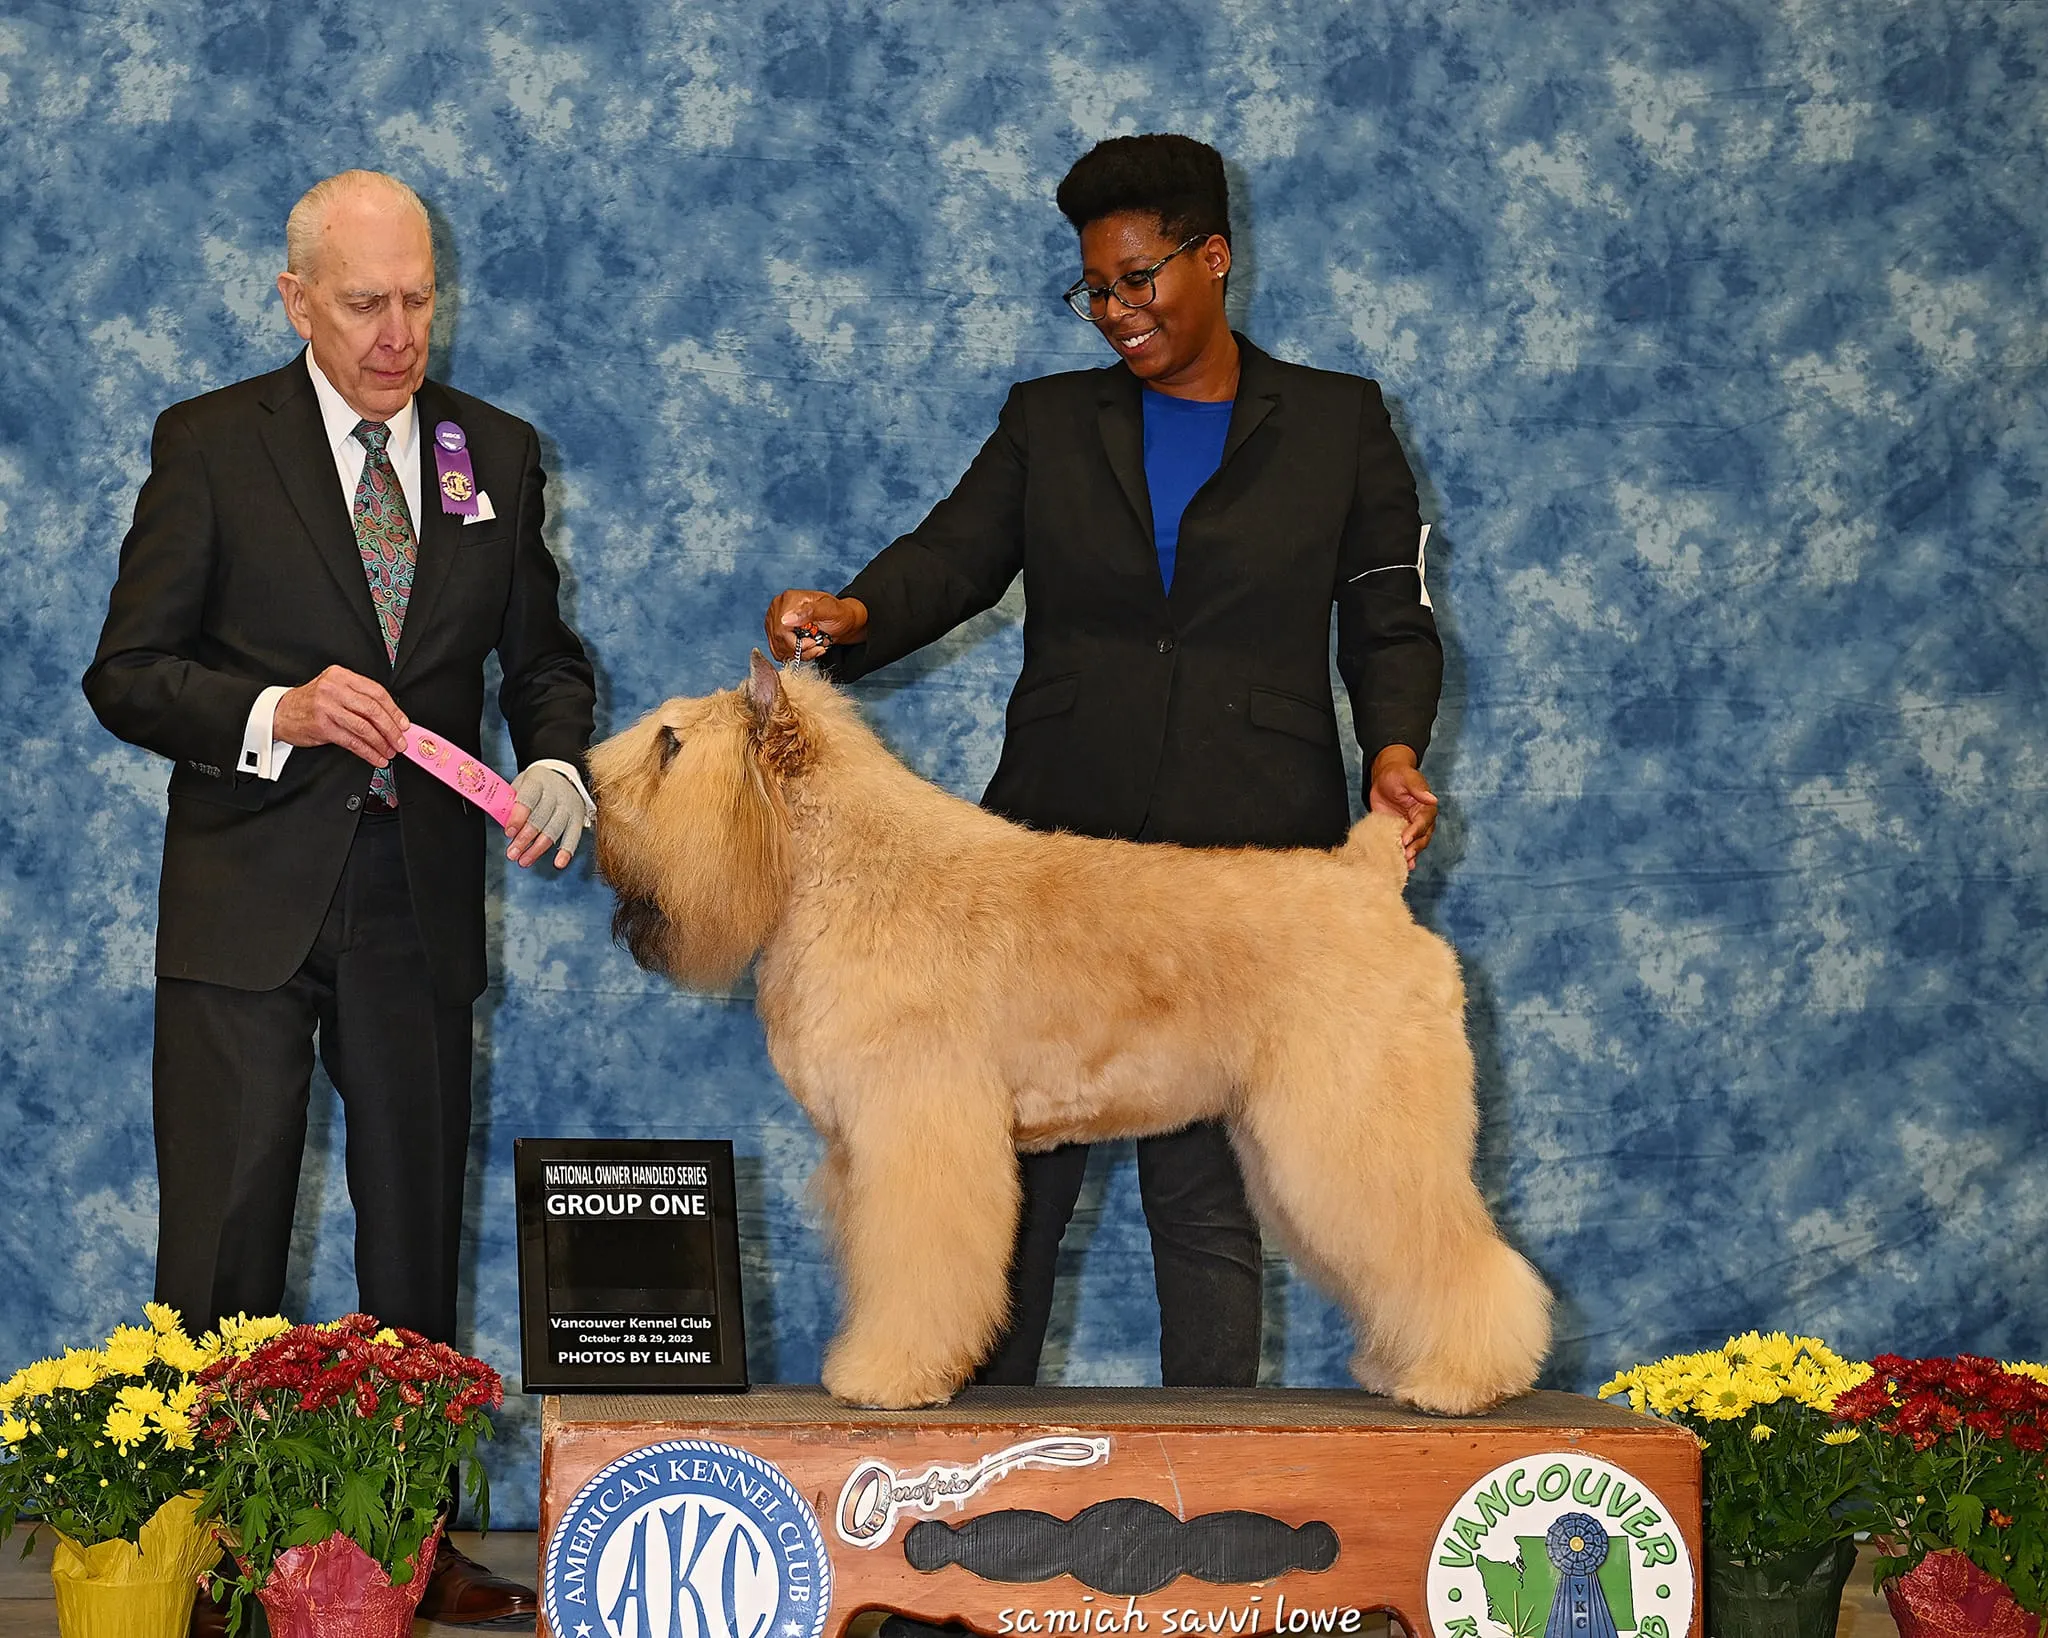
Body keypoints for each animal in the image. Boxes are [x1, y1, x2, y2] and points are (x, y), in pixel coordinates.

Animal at [593, 659, 1548, 1416]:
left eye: (671, 744)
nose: (593, 792)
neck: (848, 867)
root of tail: (1370, 878)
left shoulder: (917, 1132)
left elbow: (916, 1266)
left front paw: (887, 1375)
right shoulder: (867, 1146)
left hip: (1354, 1129)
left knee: (1451, 1252)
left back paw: (1461, 1379)